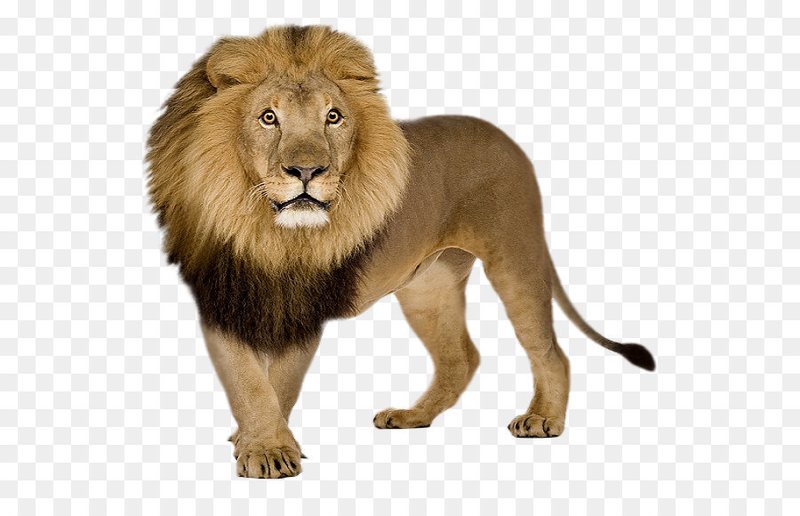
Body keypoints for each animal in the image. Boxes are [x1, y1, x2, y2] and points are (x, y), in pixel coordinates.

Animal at [146, 25, 655, 479]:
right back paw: (414, 417)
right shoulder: (220, 299)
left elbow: (280, 382)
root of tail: (507, 140)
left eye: (333, 116)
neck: (267, 232)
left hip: (515, 257)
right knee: (461, 358)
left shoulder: (308, 306)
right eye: (268, 117)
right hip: (427, 286)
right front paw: (261, 444)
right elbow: (249, 383)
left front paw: (270, 450)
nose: (307, 171)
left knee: (550, 351)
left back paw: (544, 418)